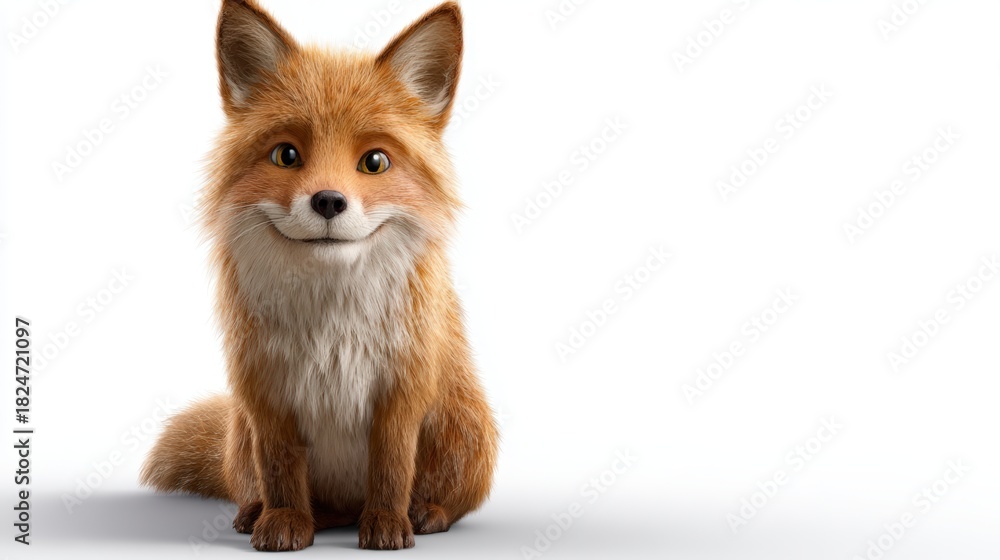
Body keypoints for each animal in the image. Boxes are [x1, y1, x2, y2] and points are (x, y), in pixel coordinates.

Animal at [140, 0, 498, 552]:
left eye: (375, 162)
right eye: (286, 155)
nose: (328, 201)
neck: (332, 326)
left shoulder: (401, 391)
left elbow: (392, 468)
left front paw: (387, 524)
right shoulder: (266, 394)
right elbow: (281, 470)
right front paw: (284, 521)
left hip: (465, 431)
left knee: (450, 499)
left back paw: (425, 513)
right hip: (240, 433)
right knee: (268, 488)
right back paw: (265, 513)